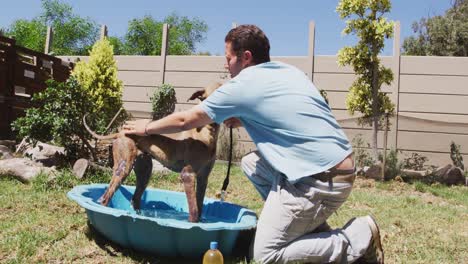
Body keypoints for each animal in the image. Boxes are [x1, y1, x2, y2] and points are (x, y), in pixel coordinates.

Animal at [83, 82, 222, 223]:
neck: (206, 134)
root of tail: (121, 132)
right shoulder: (188, 175)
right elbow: (194, 210)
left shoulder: (203, 178)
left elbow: (199, 208)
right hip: (124, 167)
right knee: (106, 197)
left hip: (145, 171)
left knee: (135, 199)